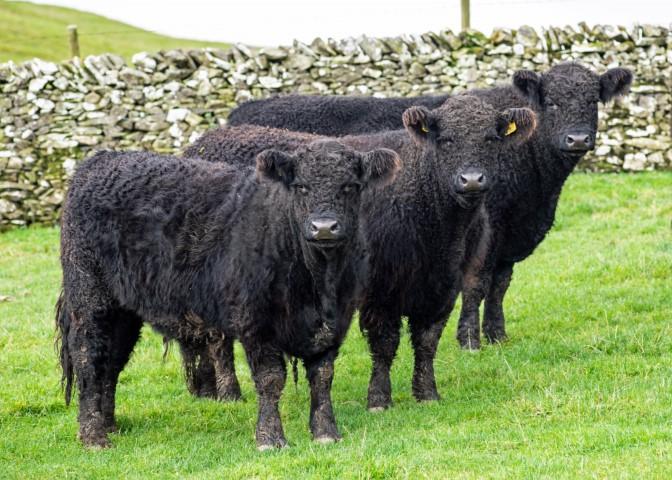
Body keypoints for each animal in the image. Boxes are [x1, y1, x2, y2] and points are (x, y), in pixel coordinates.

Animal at [56, 141, 400, 448]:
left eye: (350, 186)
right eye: (301, 186)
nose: (324, 227)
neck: (318, 283)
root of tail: (100, 159)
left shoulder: (336, 321)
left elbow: (323, 376)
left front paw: (326, 433)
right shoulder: (256, 322)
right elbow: (270, 379)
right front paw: (270, 439)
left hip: (124, 309)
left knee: (111, 361)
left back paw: (109, 424)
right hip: (90, 296)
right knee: (89, 357)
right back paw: (94, 437)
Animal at [182, 95, 536, 410]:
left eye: (491, 139)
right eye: (446, 140)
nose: (471, 180)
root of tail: (205, 141)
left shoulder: (444, 286)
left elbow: (427, 340)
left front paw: (427, 393)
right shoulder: (381, 290)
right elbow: (385, 343)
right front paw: (379, 399)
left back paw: (208, 391)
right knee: (216, 337)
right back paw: (229, 393)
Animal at [226, 62, 636, 348]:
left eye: (592, 100)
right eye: (551, 102)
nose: (577, 139)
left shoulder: (509, 236)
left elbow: (500, 285)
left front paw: (497, 335)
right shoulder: (488, 230)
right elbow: (477, 283)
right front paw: (469, 340)